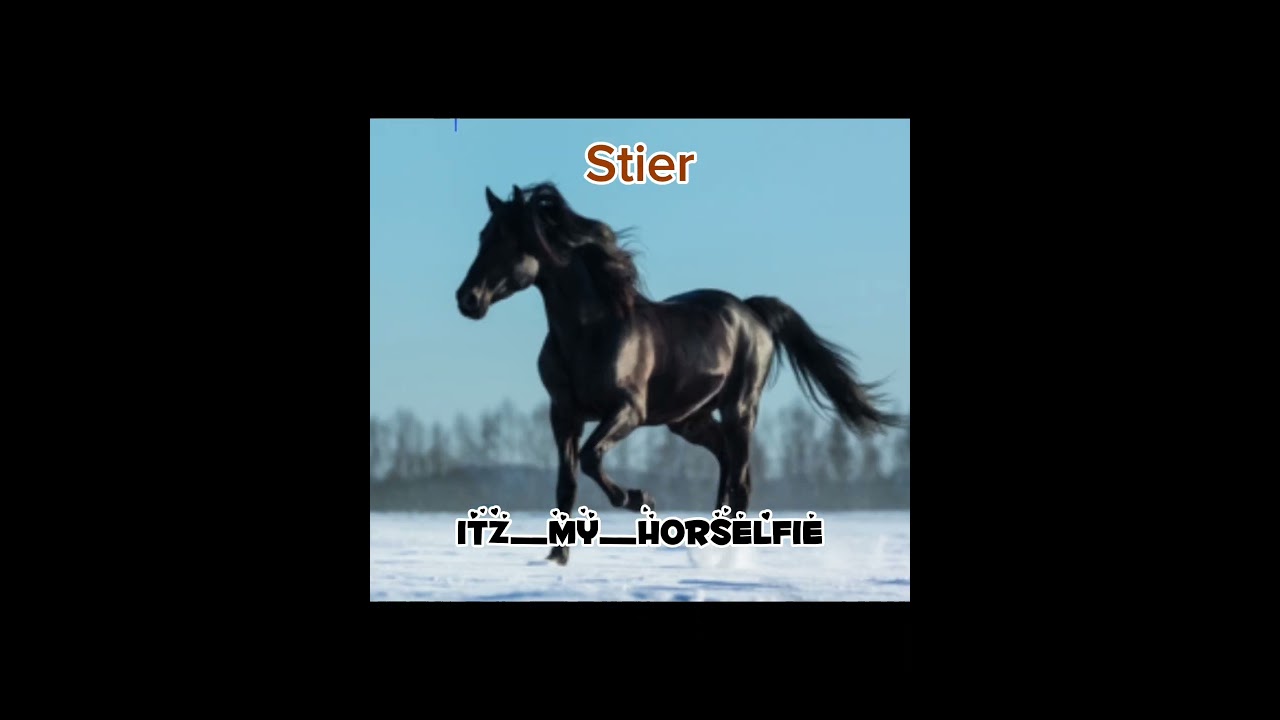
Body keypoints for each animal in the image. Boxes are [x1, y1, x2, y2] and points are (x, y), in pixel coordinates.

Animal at [455, 182, 904, 565]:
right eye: (482, 236)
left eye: (511, 241)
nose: (467, 299)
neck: (590, 332)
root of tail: (751, 311)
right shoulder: (563, 414)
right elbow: (567, 482)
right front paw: (555, 560)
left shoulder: (627, 411)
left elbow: (590, 457)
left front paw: (641, 499)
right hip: (689, 419)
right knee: (726, 460)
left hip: (740, 409)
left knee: (741, 478)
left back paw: (728, 555)